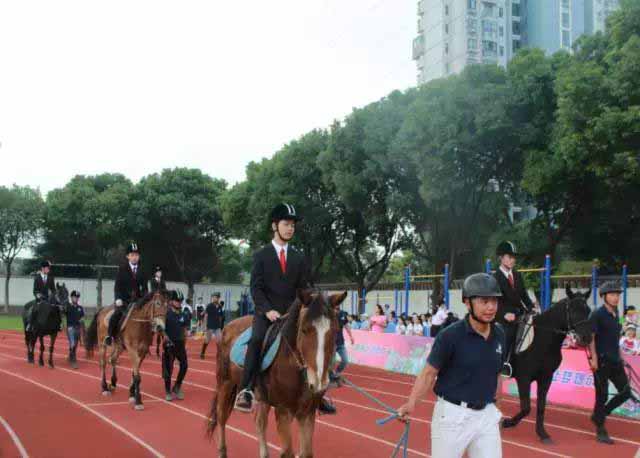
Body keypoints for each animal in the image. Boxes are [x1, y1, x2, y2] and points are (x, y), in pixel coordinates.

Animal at [209, 290, 344, 458]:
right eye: (304, 330)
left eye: (335, 331)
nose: (318, 382)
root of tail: (228, 326)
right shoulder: (283, 411)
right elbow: (287, 452)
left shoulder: (307, 412)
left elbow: (306, 453)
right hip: (225, 383)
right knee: (221, 418)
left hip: (262, 396)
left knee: (259, 422)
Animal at [502, 286, 592, 444]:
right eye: (573, 310)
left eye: (588, 311)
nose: (586, 338)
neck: (542, 340)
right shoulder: (524, 378)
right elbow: (526, 408)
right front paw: (508, 422)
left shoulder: (546, 377)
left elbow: (541, 407)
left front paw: (542, 434)